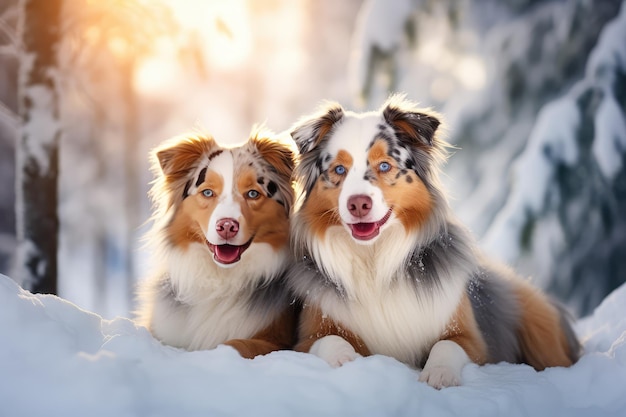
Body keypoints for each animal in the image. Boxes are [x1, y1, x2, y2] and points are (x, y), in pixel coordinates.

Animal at [135, 127, 296, 358]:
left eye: (253, 193)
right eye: (208, 192)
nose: (227, 226)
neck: (220, 280)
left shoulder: (277, 341)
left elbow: (236, 344)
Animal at [286, 96, 576, 388]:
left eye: (384, 165)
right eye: (339, 169)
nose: (358, 204)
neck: (374, 259)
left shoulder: (471, 339)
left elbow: (446, 346)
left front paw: (439, 375)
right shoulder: (309, 336)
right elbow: (331, 341)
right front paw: (349, 361)